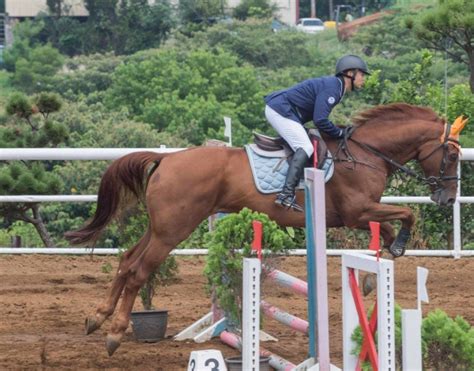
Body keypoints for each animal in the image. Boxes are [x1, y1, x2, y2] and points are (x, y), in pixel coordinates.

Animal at [65, 103, 466, 356]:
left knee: (126, 261)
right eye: (451, 155)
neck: (366, 153)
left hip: (160, 226)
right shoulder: (356, 210)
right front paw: (392, 253)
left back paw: (96, 318)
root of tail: (168, 158)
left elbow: (385, 230)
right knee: (138, 271)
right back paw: (115, 333)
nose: (447, 197)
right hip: (172, 231)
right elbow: (406, 216)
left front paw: (371, 275)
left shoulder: (358, 214)